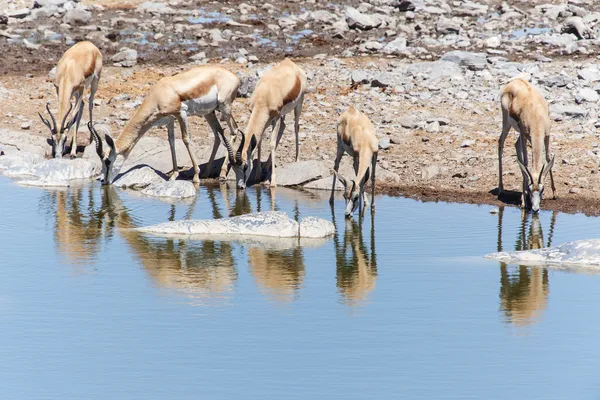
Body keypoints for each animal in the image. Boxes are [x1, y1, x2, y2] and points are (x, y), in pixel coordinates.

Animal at [89, 66, 239, 184]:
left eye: (108, 161)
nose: (103, 181)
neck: (159, 95)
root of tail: (234, 76)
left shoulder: (181, 114)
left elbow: (185, 140)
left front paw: (195, 176)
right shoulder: (169, 120)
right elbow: (171, 142)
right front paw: (173, 175)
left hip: (224, 106)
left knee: (234, 131)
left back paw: (222, 174)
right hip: (209, 112)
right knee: (218, 135)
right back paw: (207, 173)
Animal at [218, 58, 308, 190]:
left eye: (245, 166)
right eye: (233, 168)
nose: (240, 187)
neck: (265, 94)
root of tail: (289, 62)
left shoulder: (275, 118)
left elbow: (271, 143)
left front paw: (273, 182)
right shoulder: (263, 118)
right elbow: (259, 142)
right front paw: (257, 175)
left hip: (299, 104)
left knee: (296, 126)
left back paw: (297, 159)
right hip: (277, 117)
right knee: (284, 126)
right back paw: (266, 167)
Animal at [500, 79, 556, 214]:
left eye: (542, 189)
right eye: (530, 190)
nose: (535, 209)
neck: (536, 116)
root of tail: (515, 81)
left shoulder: (546, 135)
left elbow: (547, 158)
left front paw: (554, 193)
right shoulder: (524, 133)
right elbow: (525, 162)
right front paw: (524, 201)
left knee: (515, 144)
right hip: (507, 122)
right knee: (500, 142)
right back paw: (501, 188)